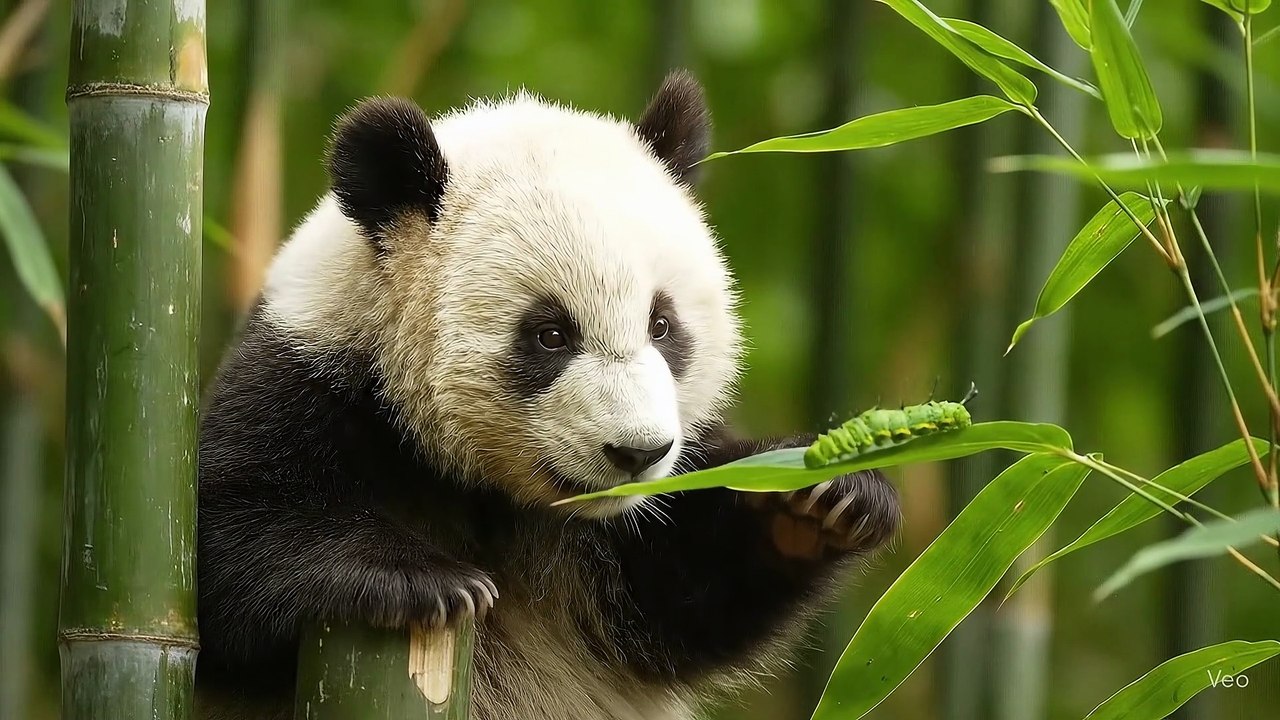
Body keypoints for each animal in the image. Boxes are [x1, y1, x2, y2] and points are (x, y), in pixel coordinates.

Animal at [195, 70, 900, 720]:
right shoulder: (310, 381)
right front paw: (422, 581)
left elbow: (685, 597)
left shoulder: (623, 553)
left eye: (662, 324)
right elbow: (225, 541)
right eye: (551, 334)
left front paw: (824, 499)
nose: (637, 452)